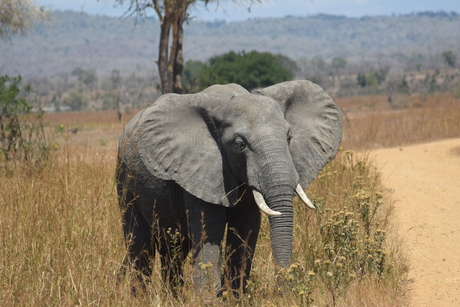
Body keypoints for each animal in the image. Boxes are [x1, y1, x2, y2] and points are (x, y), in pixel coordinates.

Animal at [117, 80, 344, 298]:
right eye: (239, 144)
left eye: (289, 138)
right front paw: (208, 300)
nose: (287, 294)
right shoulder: (200, 169)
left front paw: (235, 299)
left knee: (174, 249)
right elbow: (210, 230)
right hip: (124, 179)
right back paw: (140, 297)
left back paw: (171, 298)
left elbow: (246, 228)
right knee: (139, 243)